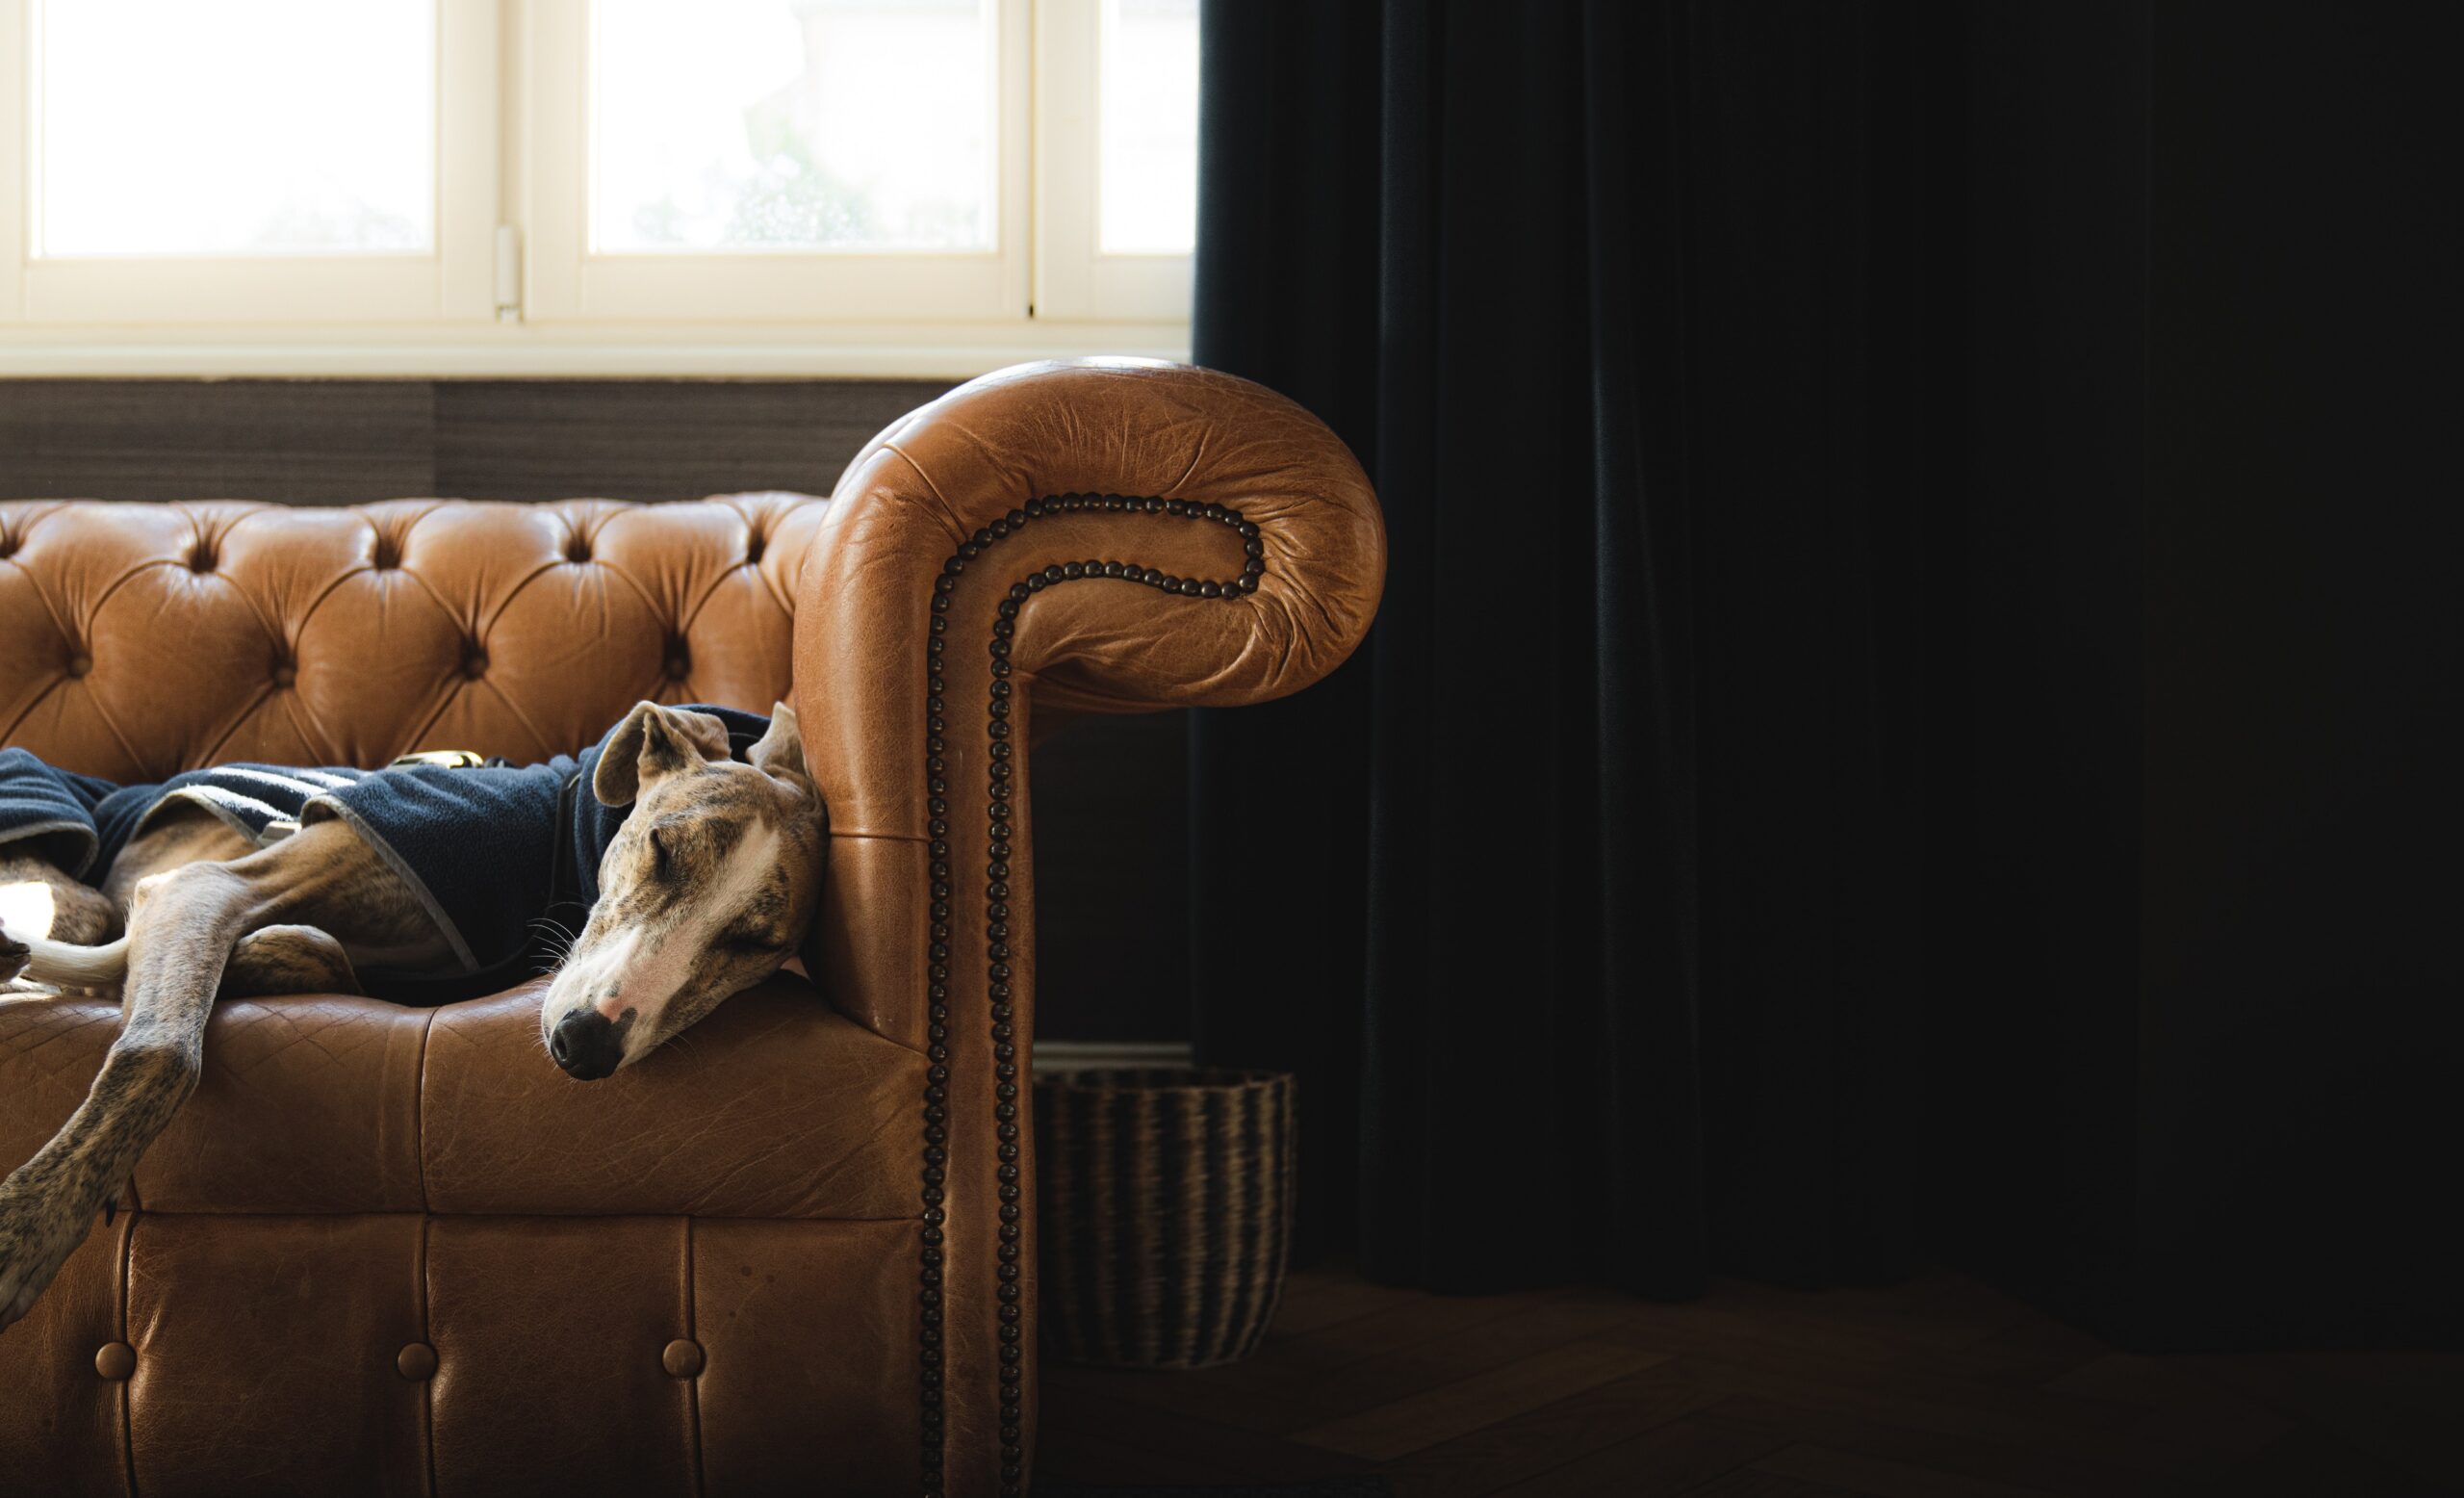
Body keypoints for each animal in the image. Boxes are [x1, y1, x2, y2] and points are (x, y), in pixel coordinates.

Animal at [0, 699, 828, 1330]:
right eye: (661, 849)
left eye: (754, 944)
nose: (584, 1045)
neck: (554, 839)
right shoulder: (200, 884)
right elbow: (165, 1050)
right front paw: (29, 1228)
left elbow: (312, 949)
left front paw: (259, 956)